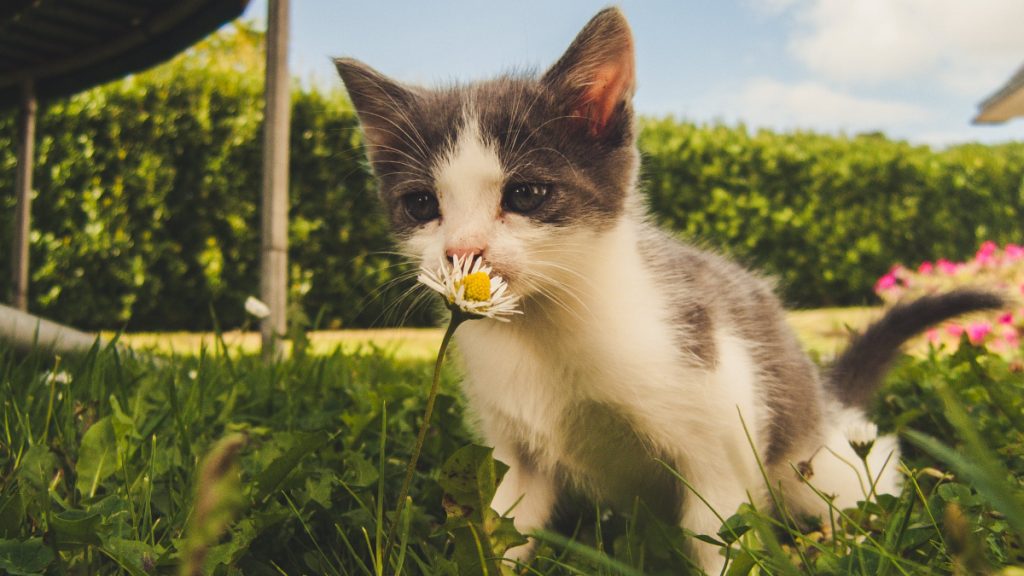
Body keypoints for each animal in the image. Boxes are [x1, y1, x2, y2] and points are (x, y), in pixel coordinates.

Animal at [333, 8, 999, 569]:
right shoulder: (514, 455)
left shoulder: (719, 431)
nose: (462, 252)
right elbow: (505, 527)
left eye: (526, 194)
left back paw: (844, 539)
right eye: (422, 205)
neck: (546, 329)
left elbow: (720, 537)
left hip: (812, 458)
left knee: (864, 472)